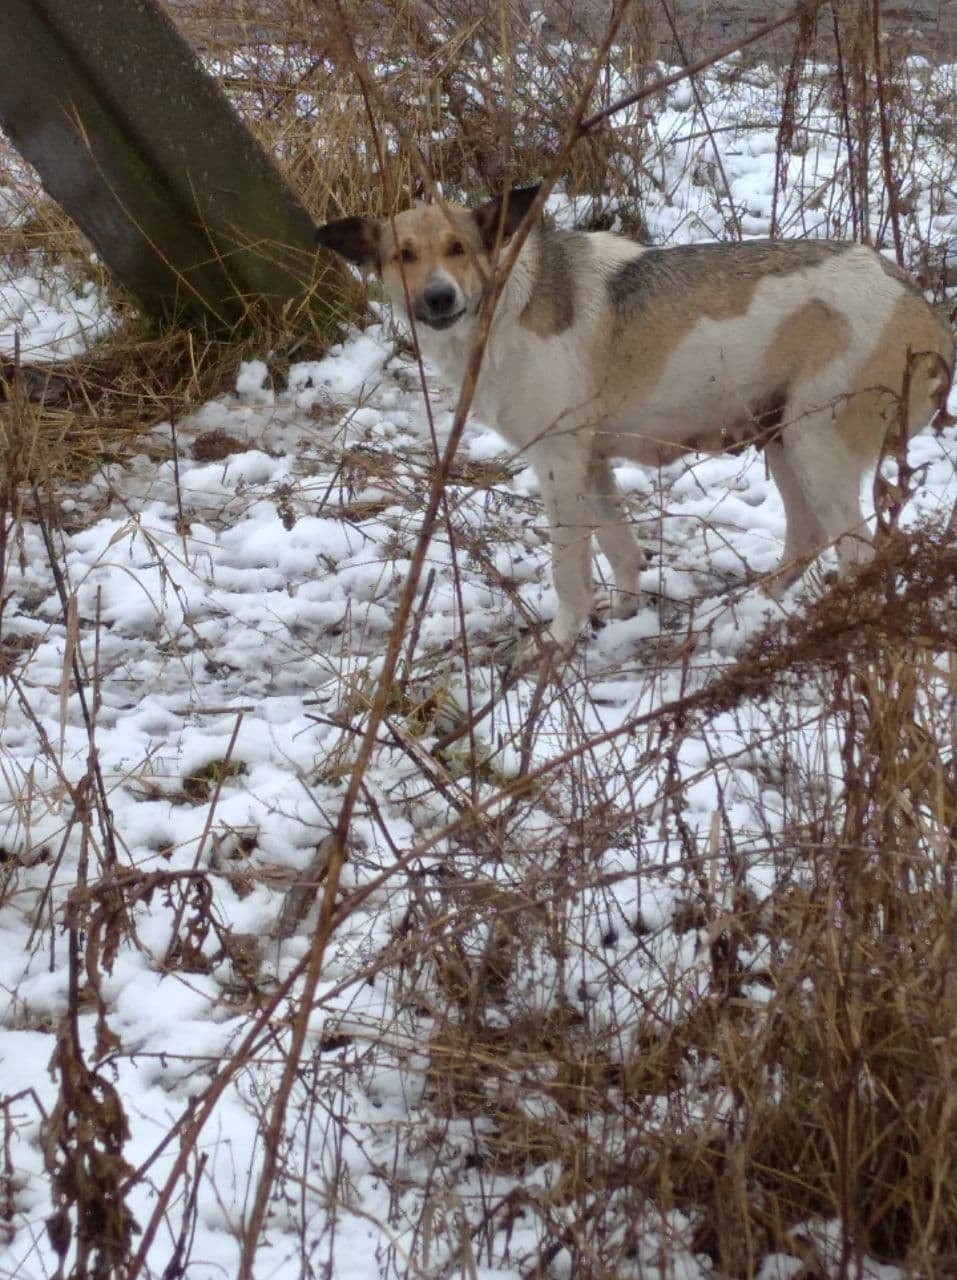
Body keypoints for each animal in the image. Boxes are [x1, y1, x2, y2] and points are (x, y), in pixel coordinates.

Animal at [316, 186, 957, 650]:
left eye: (460, 249)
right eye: (402, 256)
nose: (440, 298)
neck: (503, 304)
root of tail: (921, 307)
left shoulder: (559, 462)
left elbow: (569, 569)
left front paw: (560, 640)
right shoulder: (590, 463)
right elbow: (619, 546)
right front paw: (625, 610)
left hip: (814, 444)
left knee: (858, 554)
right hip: (783, 438)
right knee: (808, 537)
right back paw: (759, 606)